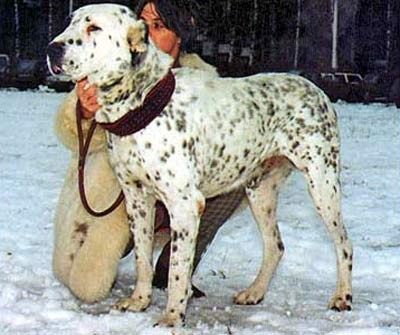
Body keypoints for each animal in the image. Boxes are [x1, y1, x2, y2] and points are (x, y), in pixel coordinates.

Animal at [47, 3, 354, 328]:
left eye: (94, 28)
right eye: (70, 22)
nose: (52, 48)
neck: (141, 103)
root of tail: (316, 89)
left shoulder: (185, 204)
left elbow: (177, 270)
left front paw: (172, 317)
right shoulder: (137, 200)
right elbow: (142, 258)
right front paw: (139, 301)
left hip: (322, 185)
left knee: (343, 243)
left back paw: (342, 297)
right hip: (260, 192)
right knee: (276, 246)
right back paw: (254, 292)